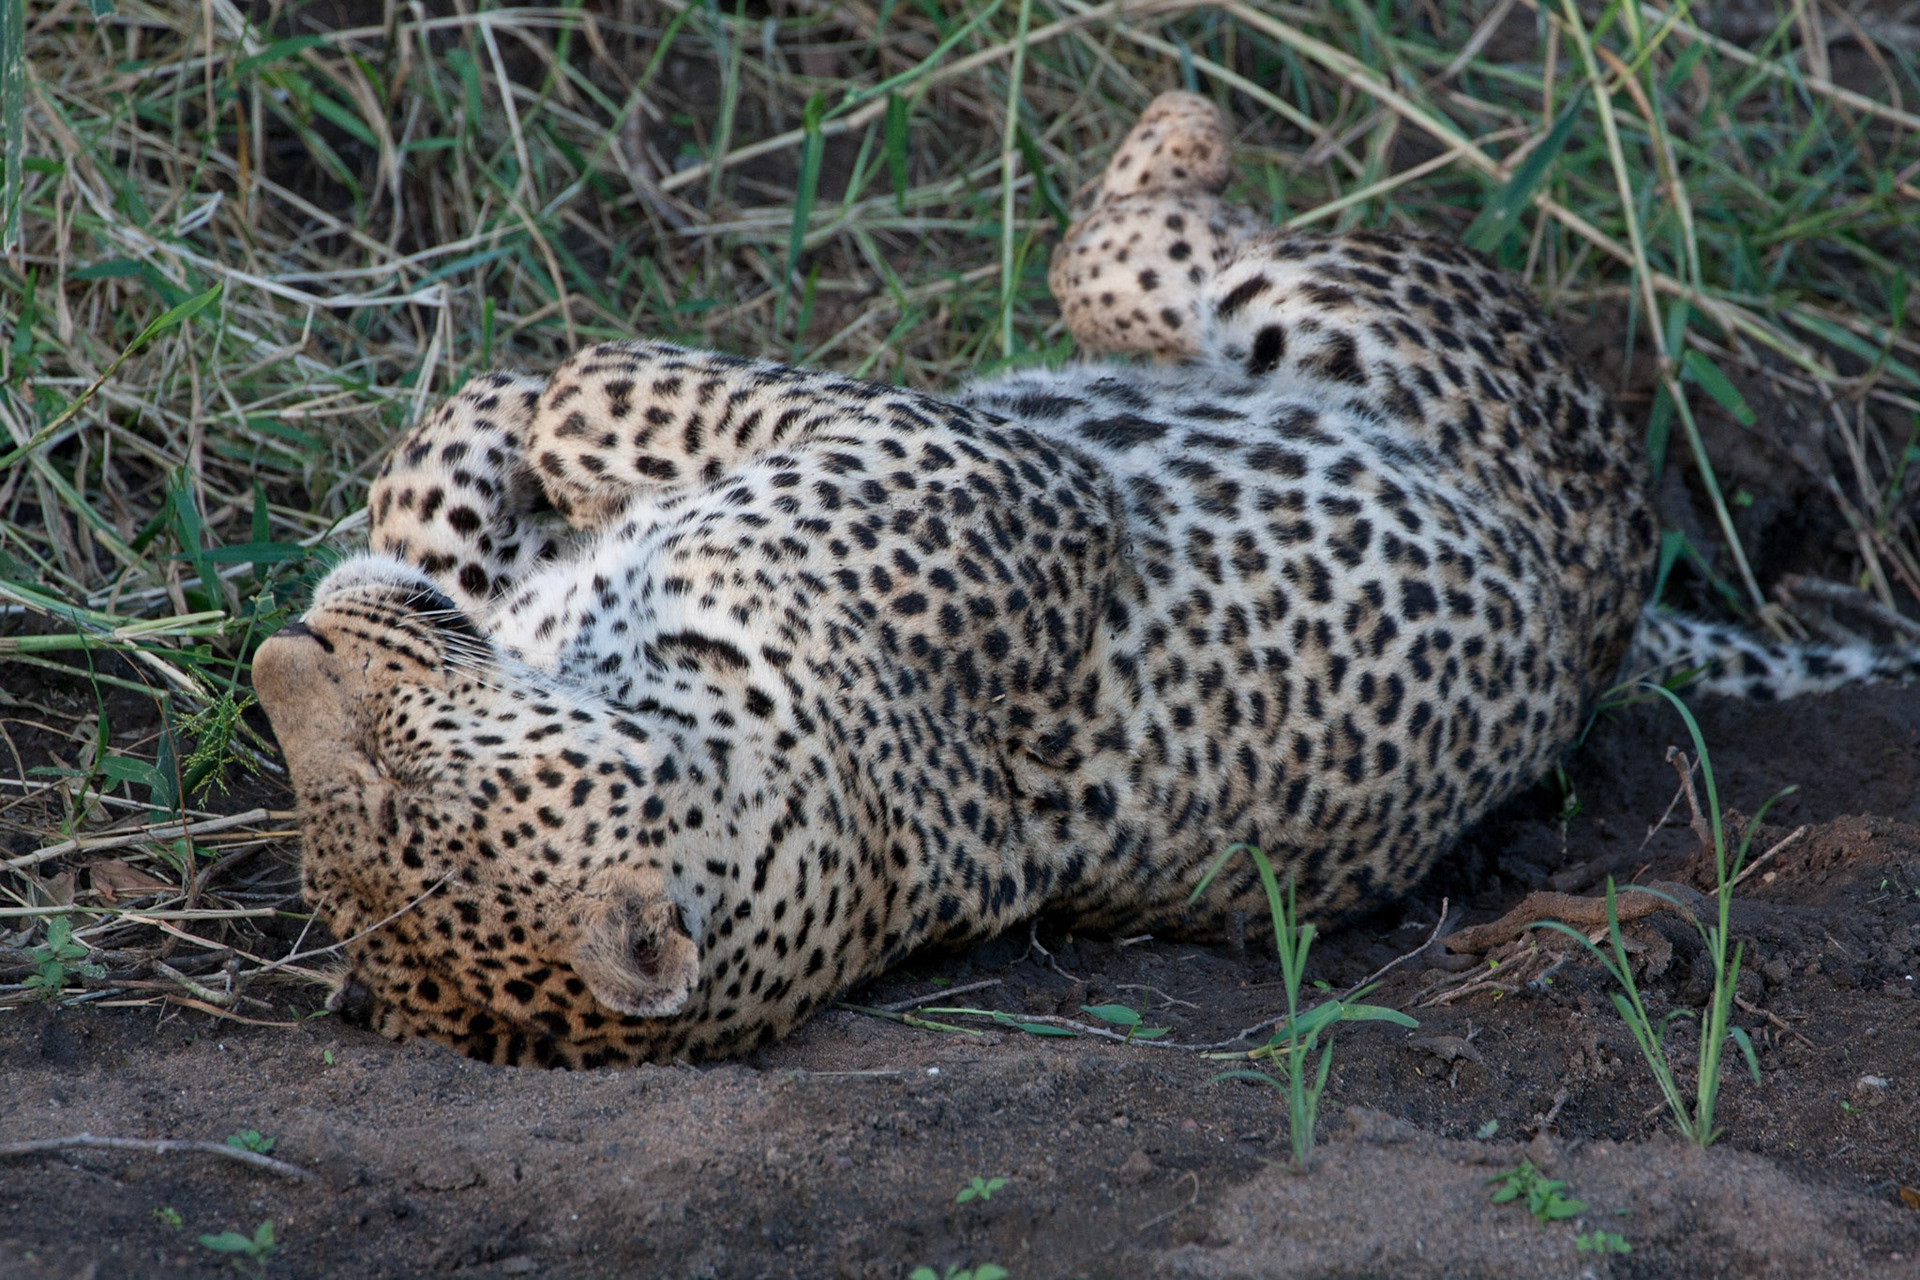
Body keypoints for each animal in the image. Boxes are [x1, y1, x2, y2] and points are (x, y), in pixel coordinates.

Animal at [252, 93, 1920, 1067]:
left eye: (390, 774)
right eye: (340, 825)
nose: (284, 652)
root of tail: (1614, 619)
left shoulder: (972, 471)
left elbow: (530, 436)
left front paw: (496, 407)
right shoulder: (975, 471)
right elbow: (533, 449)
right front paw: (498, 427)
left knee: (1141, 266)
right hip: (1360, 327)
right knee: (1143, 256)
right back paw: (1178, 136)